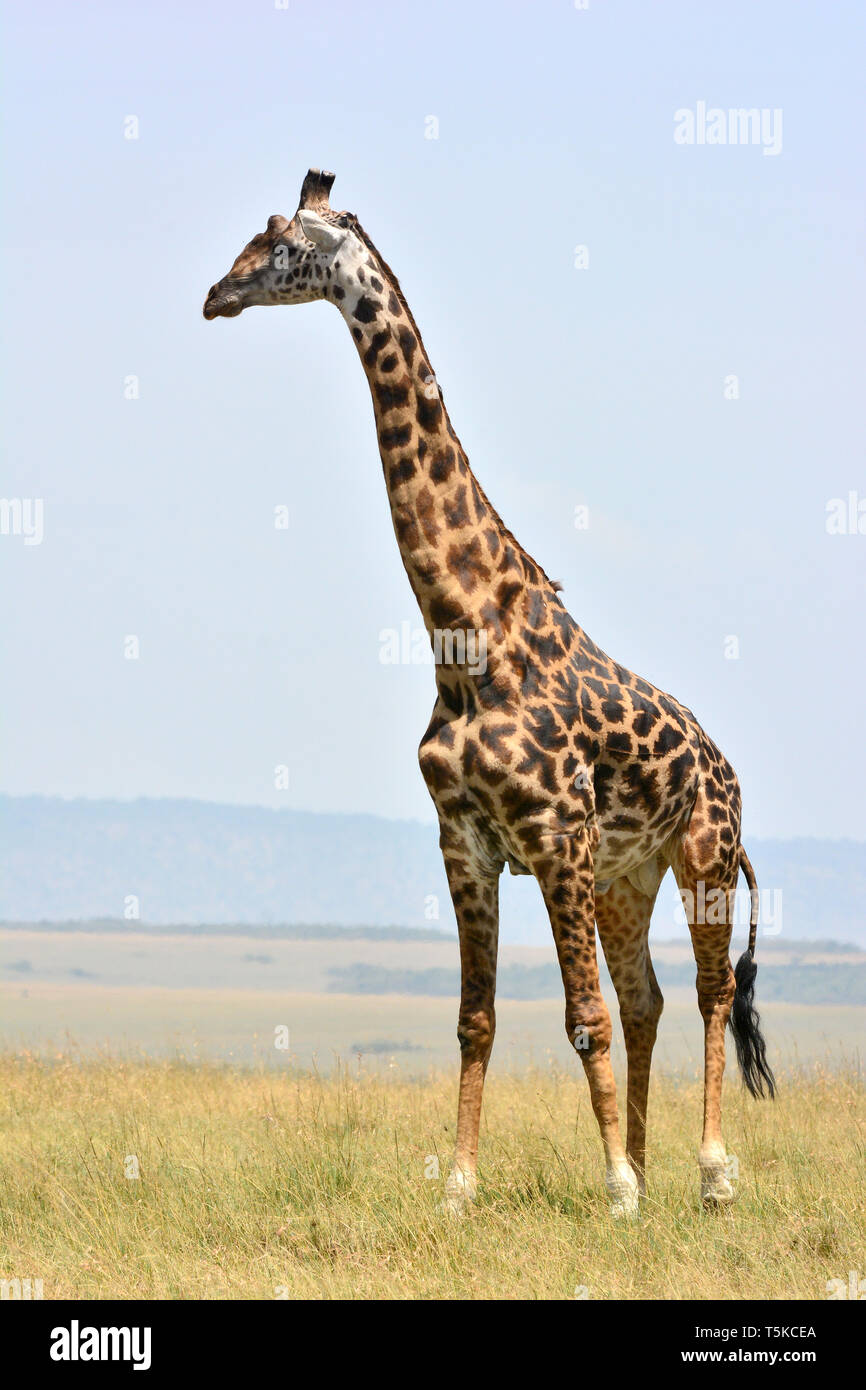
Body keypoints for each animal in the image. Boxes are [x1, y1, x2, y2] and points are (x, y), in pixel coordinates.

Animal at [204, 170, 778, 1217]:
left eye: (279, 241)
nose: (216, 295)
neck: (464, 636)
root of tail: (726, 769)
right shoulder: (466, 839)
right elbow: (478, 1018)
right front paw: (467, 1189)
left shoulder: (555, 836)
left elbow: (580, 1015)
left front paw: (615, 1191)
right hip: (629, 876)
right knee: (648, 998)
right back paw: (649, 1163)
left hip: (703, 854)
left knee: (709, 994)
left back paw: (710, 1176)